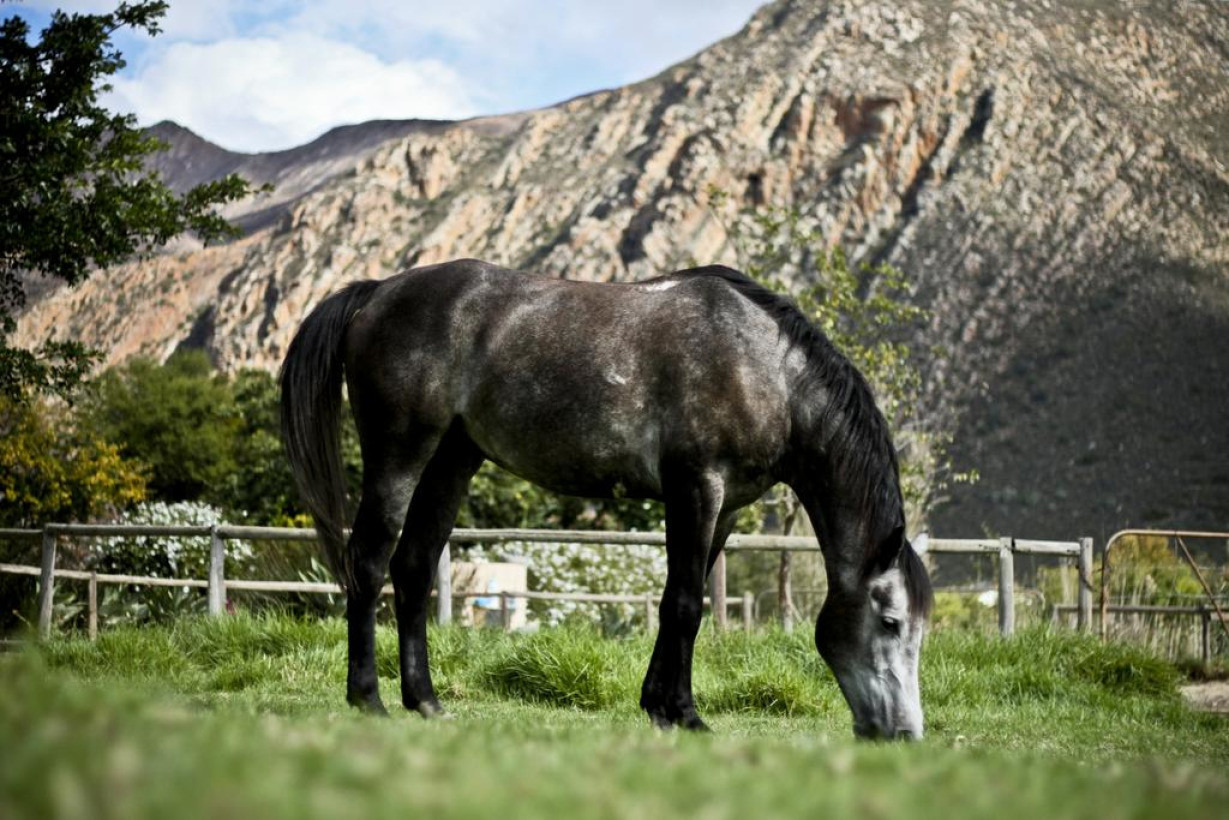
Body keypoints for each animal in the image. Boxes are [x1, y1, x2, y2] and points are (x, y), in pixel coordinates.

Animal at [279, 258, 933, 738]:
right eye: (891, 622)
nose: (904, 734)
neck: (764, 368)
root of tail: (377, 292)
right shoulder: (695, 487)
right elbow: (686, 606)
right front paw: (686, 715)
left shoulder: (724, 508)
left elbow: (682, 598)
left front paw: (660, 705)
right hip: (401, 454)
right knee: (367, 563)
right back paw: (368, 698)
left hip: (452, 461)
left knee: (413, 570)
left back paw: (426, 702)